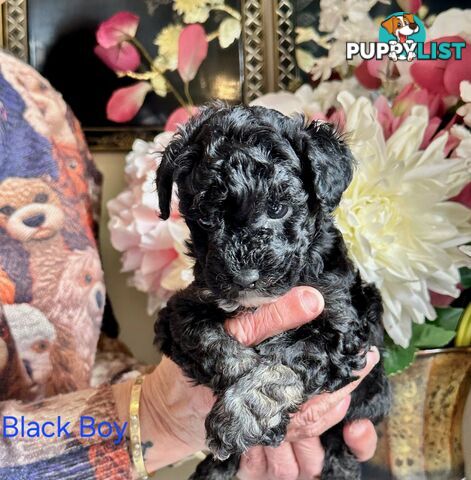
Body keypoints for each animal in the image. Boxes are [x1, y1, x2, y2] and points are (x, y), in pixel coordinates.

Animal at [155, 103, 390, 478]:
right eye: (205, 217)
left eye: (278, 208)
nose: (245, 276)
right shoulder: (182, 308)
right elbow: (209, 341)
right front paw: (243, 388)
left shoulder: (343, 325)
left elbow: (287, 359)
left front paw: (246, 409)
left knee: (342, 443)